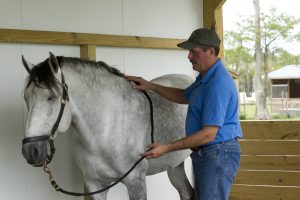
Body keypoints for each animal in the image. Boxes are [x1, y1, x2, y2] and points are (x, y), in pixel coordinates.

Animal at [21, 52, 195, 199]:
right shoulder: (94, 183)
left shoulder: (136, 180)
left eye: (51, 97)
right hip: (175, 164)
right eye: (26, 98)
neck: (104, 130)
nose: (31, 151)